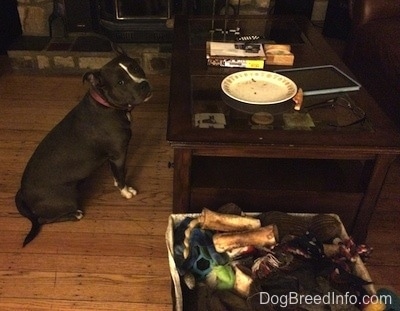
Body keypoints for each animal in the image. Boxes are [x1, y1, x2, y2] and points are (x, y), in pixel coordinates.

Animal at [14, 54, 151, 249]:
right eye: (121, 82)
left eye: (137, 68)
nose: (144, 84)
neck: (106, 105)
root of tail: (23, 193)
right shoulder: (119, 154)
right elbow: (121, 176)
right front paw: (126, 192)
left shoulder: (113, 157)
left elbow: (115, 174)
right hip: (68, 197)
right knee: (43, 219)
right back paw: (75, 214)